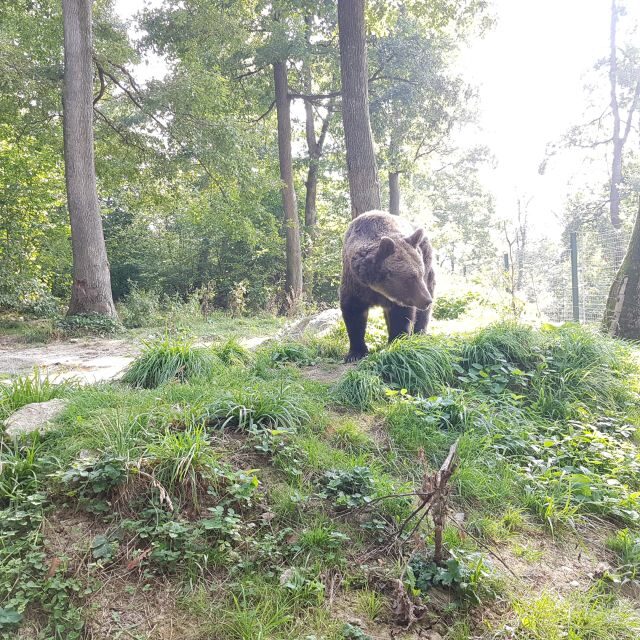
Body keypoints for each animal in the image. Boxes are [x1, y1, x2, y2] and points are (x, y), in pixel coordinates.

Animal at [340, 210, 435, 362]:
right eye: (411, 277)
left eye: (420, 273)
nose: (426, 300)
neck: (377, 288)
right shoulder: (355, 285)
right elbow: (353, 314)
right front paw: (355, 353)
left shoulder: (402, 297)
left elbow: (401, 316)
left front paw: (396, 343)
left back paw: (420, 333)